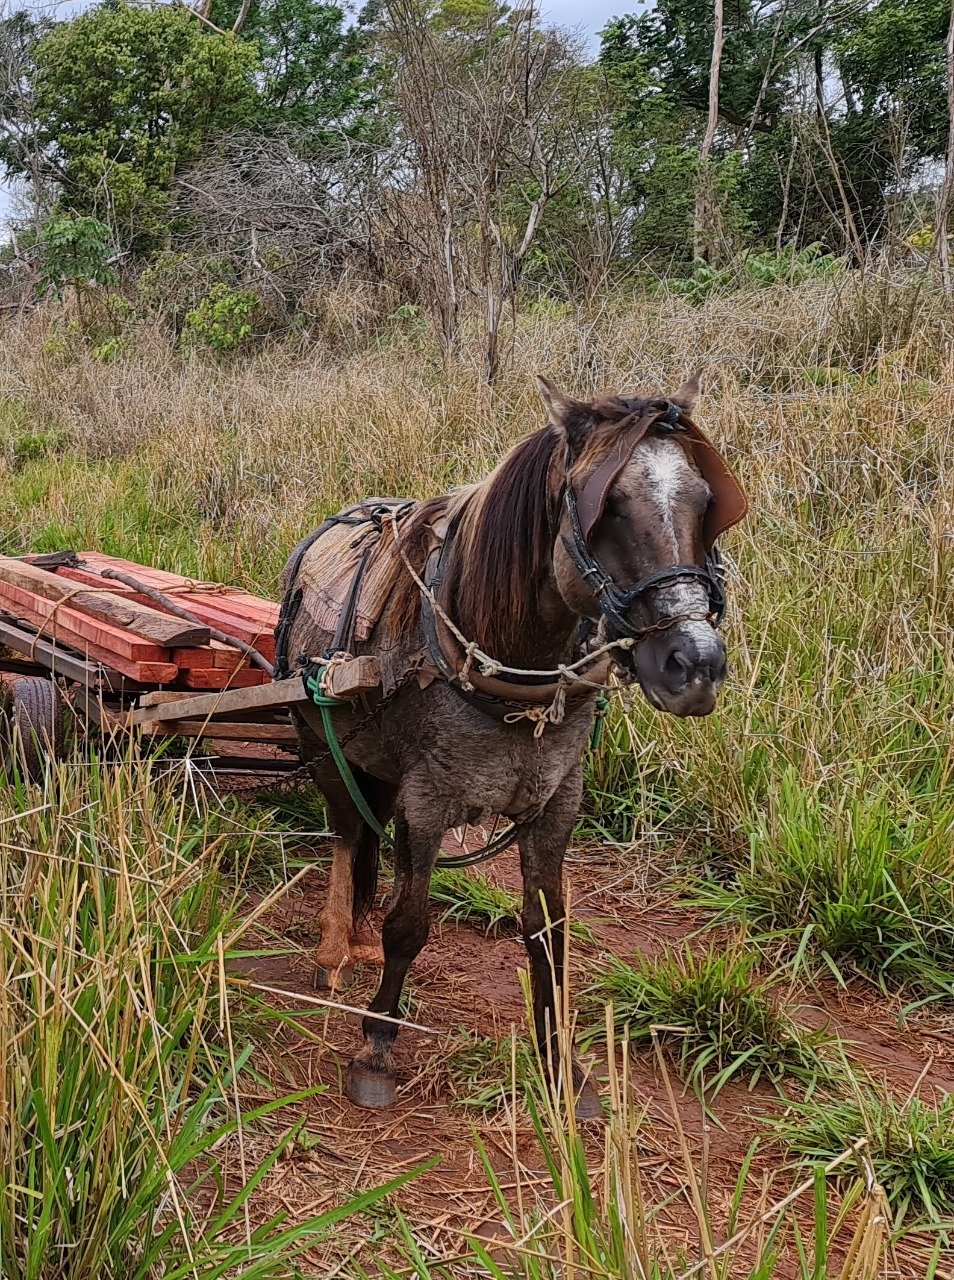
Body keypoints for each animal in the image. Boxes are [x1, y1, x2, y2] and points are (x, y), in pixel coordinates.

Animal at [275, 373, 742, 1111]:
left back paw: (356, 937)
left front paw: (562, 1066)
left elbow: (548, 931)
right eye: (606, 507)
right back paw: (332, 948)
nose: (694, 665)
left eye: (703, 502)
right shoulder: (429, 800)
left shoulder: (557, 802)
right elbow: (410, 924)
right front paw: (376, 1045)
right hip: (322, 742)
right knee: (349, 834)